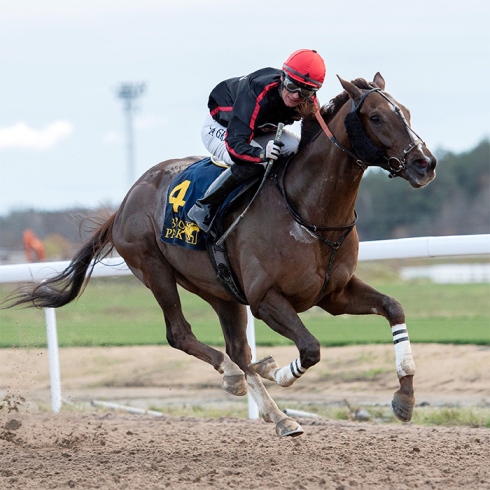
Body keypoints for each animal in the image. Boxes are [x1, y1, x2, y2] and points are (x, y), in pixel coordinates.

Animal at [4, 72, 436, 436]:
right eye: (377, 117)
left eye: (406, 112)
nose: (425, 163)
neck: (310, 210)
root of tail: (127, 199)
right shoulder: (266, 300)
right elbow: (310, 348)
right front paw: (279, 373)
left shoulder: (334, 293)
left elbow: (394, 307)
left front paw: (405, 398)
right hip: (154, 268)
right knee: (185, 336)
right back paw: (235, 376)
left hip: (219, 289)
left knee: (238, 349)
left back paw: (277, 414)